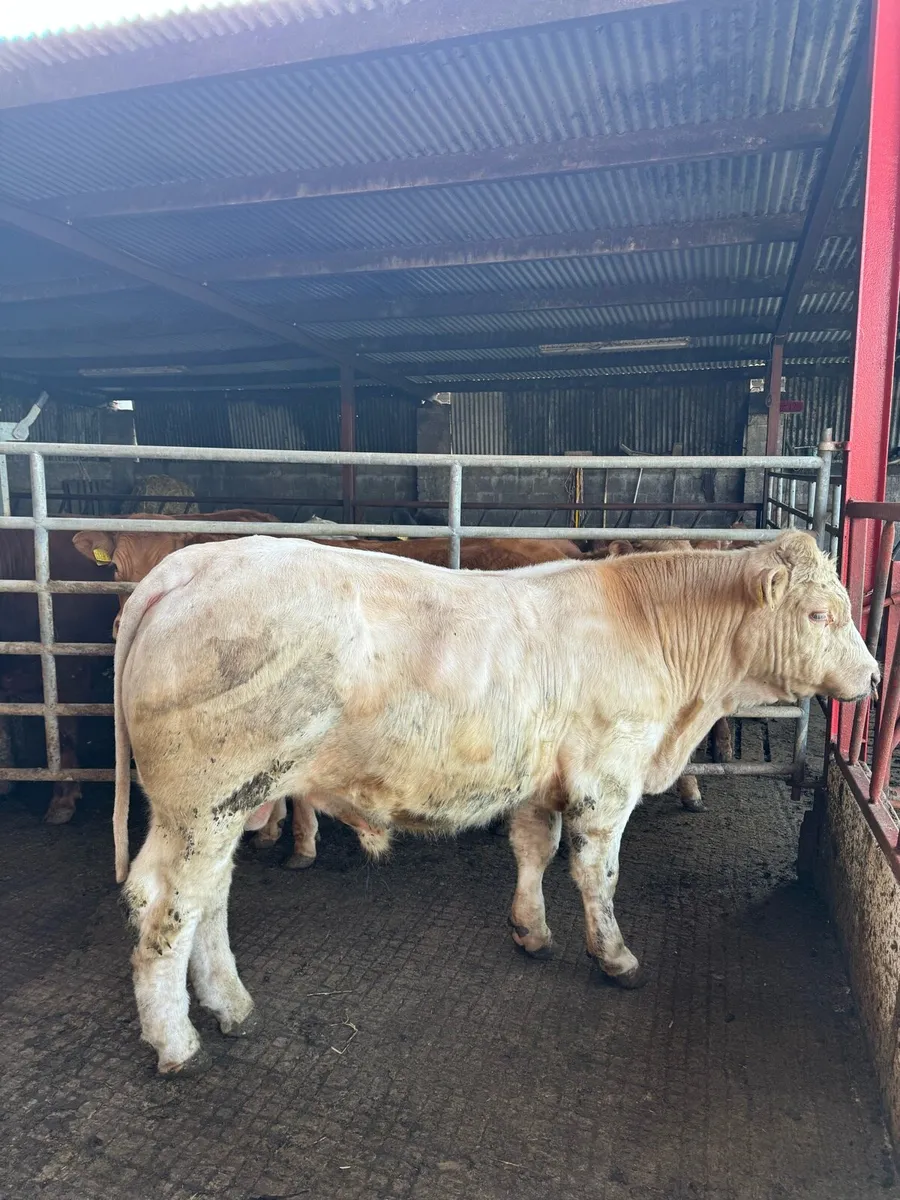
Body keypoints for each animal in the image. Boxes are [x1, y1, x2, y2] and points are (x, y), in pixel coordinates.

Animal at [111, 530, 876, 1073]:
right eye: (820, 613)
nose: (871, 676)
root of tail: (193, 563)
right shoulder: (606, 781)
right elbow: (597, 874)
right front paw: (615, 957)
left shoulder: (543, 782)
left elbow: (534, 850)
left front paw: (530, 931)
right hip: (204, 802)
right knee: (170, 907)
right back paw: (176, 1042)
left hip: (221, 806)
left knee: (204, 897)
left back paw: (231, 1004)